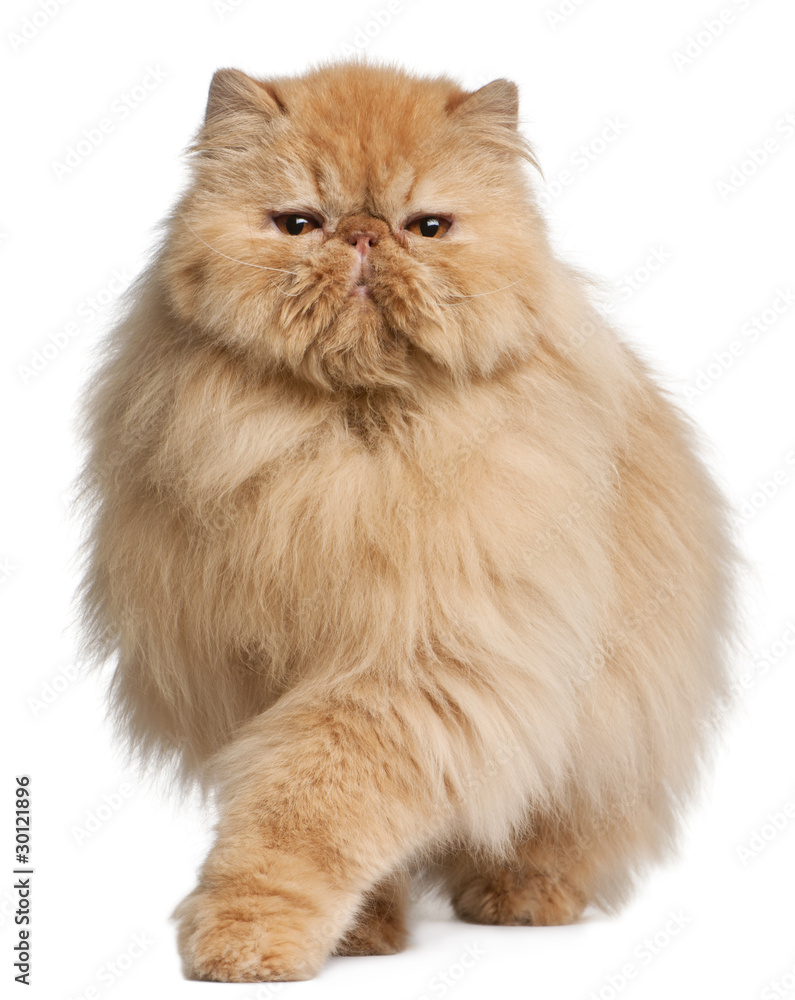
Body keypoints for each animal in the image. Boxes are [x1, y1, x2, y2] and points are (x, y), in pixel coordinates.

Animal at [77, 58, 736, 980]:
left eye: (426, 227)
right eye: (299, 223)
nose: (361, 236)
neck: (350, 443)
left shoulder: (419, 664)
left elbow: (304, 813)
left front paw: (248, 938)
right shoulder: (250, 673)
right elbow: (315, 814)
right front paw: (360, 932)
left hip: (606, 726)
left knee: (557, 829)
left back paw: (521, 899)